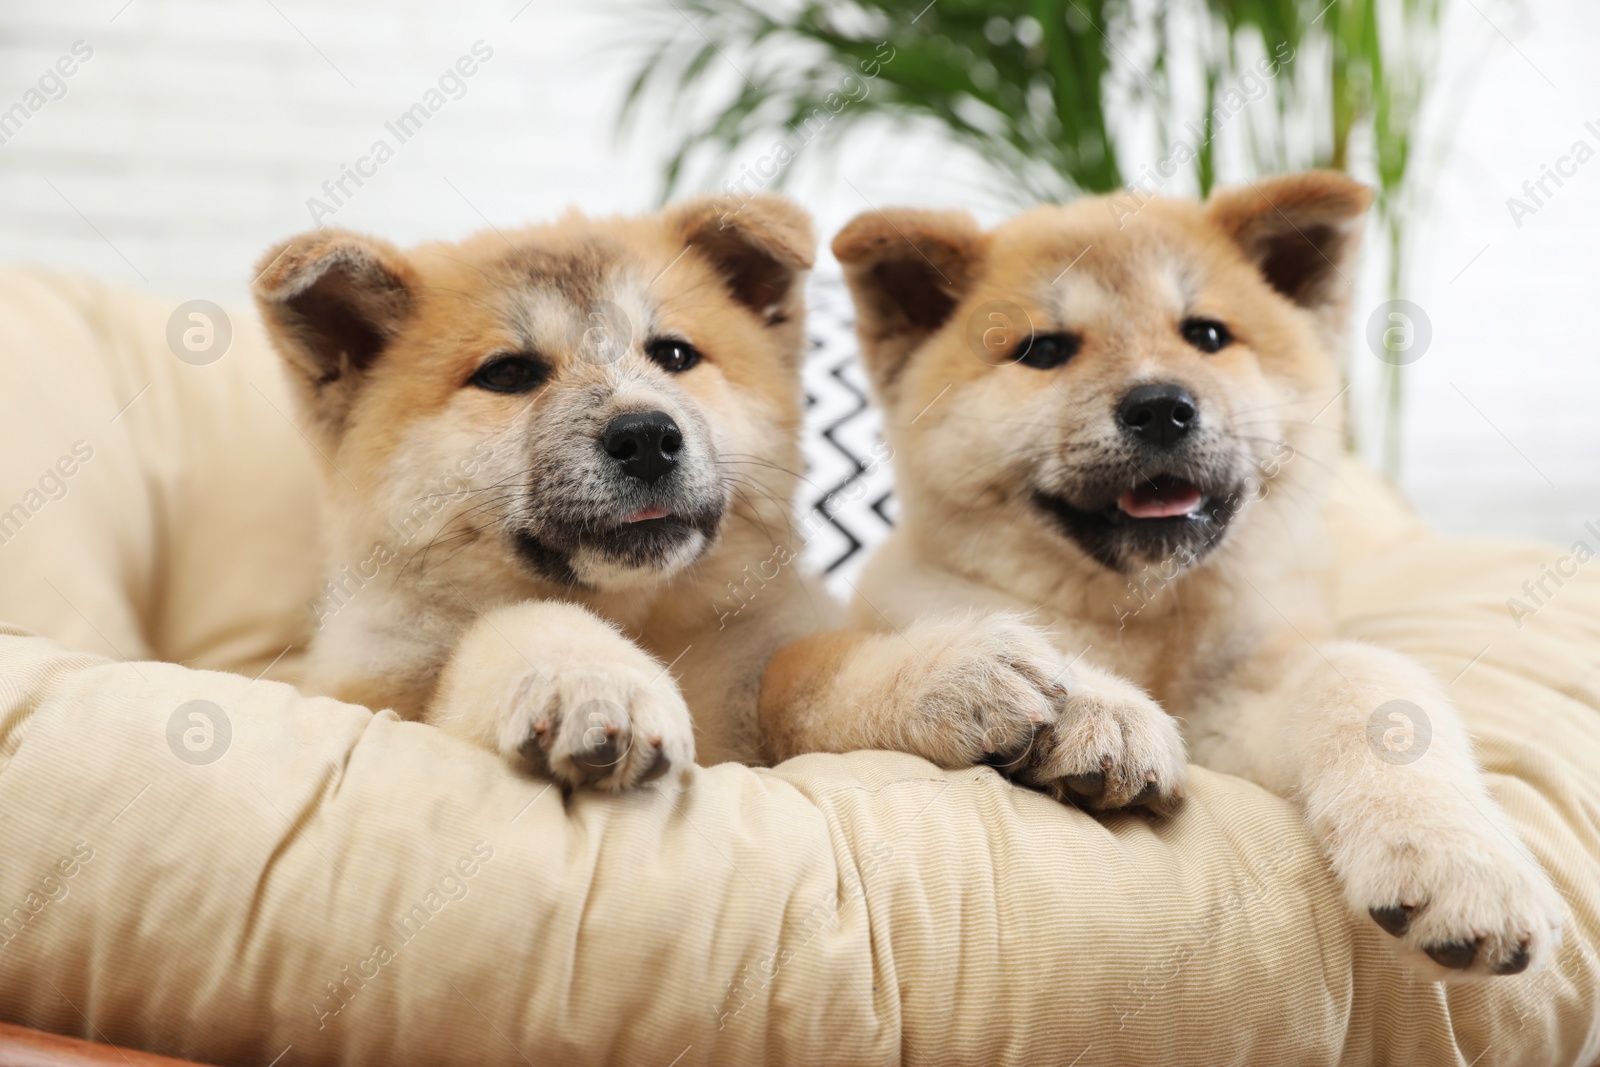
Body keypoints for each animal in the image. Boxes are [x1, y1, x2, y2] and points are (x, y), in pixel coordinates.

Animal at [249, 198, 1075, 799]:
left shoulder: (756, 662)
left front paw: (966, 673)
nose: (647, 436)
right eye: (508, 374)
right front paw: (587, 673)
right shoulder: (377, 699)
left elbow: (804, 673)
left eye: (674, 354)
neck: (642, 614)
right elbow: (507, 627)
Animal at [812, 173, 1561, 985]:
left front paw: (1457, 855)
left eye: (1205, 335)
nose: (1161, 408)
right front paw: (1089, 704)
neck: (1148, 621)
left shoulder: (1236, 704)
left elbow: (1367, 683)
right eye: (1045, 350)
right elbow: (906, 662)